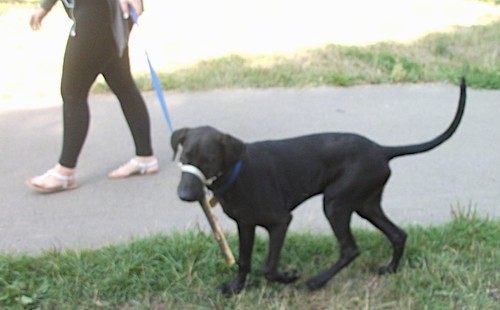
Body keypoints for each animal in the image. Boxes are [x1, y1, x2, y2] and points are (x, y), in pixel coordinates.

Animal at [171, 78, 464, 294]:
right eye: (184, 157)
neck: (236, 172)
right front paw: (236, 288)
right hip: (365, 204)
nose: (185, 195)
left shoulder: (280, 221)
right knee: (398, 234)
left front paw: (289, 276)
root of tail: (382, 150)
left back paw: (317, 281)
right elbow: (244, 261)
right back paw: (390, 269)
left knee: (351, 249)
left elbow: (269, 268)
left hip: (336, 204)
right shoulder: (246, 224)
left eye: (209, 161)